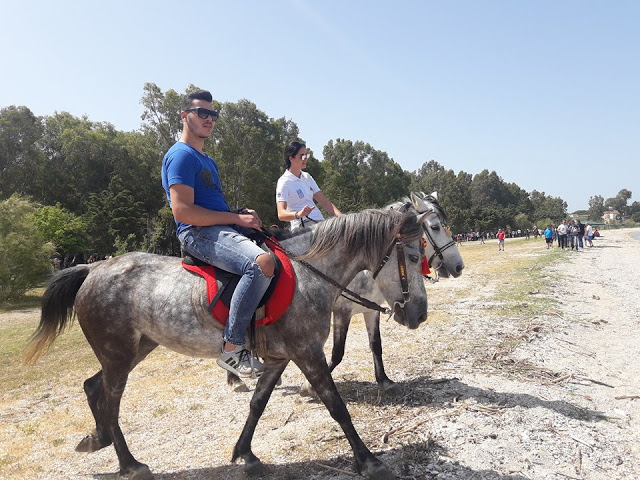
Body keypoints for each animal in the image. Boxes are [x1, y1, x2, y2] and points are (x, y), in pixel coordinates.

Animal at [23, 209, 430, 480]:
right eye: (413, 256)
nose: (419, 314)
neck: (307, 275)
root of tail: (92, 268)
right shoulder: (307, 353)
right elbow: (337, 406)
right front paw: (368, 459)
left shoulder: (281, 358)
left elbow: (258, 404)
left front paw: (245, 453)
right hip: (119, 352)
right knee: (109, 400)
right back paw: (129, 464)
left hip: (135, 348)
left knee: (93, 387)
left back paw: (98, 439)